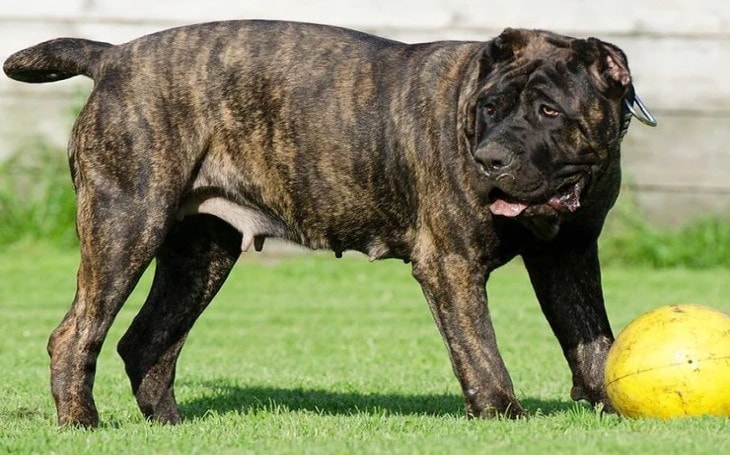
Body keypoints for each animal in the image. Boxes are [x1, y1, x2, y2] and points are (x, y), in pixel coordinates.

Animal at [4, 20, 656, 428]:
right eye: (489, 108)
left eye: (549, 111)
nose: (489, 158)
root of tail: (112, 56)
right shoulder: (451, 263)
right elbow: (480, 348)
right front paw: (503, 414)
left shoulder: (569, 256)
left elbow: (592, 339)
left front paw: (611, 403)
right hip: (126, 226)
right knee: (76, 333)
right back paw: (82, 423)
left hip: (199, 255)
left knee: (148, 339)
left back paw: (169, 425)